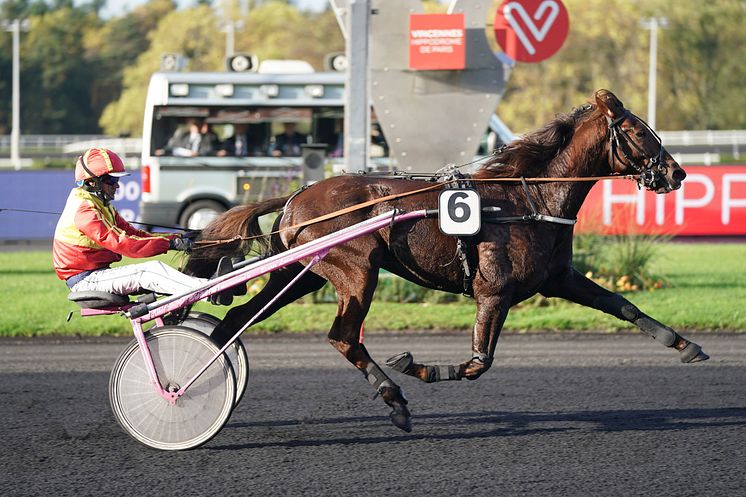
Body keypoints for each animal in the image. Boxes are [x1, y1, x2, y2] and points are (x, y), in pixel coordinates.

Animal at [185, 89, 704, 430]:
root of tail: (298, 194)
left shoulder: (559, 278)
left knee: (235, 320)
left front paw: (684, 344)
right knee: (343, 336)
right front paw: (419, 366)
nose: (676, 172)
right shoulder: (494, 291)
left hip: (303, 273)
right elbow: (479, 362)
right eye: (636, 131)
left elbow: (622, 304)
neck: (529, 198)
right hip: (356, 270)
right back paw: (394, 400)